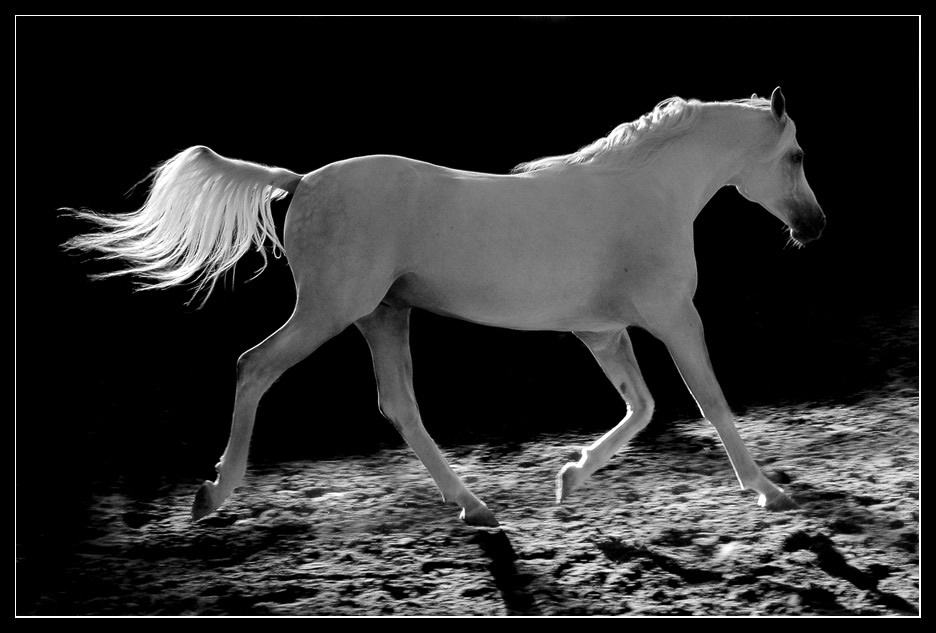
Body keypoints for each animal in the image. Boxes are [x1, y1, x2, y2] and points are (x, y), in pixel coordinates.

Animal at [65, 87, 825, 527]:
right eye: (795, 155)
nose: (814, 227)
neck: (644, 191)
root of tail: (301, 180)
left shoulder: (602, 332)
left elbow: (641, 408)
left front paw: (567, 479)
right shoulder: (673, 319)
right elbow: (711, 402)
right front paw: (769, 491)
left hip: (382, 316)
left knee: (399, 406)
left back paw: (475, 505)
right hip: (331, 310)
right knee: (254, 367)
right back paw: (213, 495)